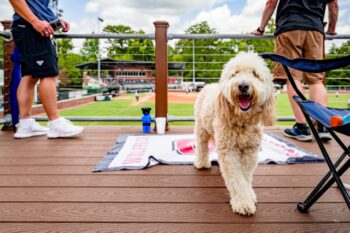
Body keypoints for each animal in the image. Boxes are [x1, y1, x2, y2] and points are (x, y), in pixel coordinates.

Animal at [193, 52, 274, 216]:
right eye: (235, 73)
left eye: (255, 74)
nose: (243, 85)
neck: (242, 121)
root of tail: (209, 85)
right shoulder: (229, 152)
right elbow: (237, 179)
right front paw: (243, 202)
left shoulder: (250, 151)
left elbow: (245, 177)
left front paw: (249, 195)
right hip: (201, 128)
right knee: (201, 146)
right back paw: (202, 163)